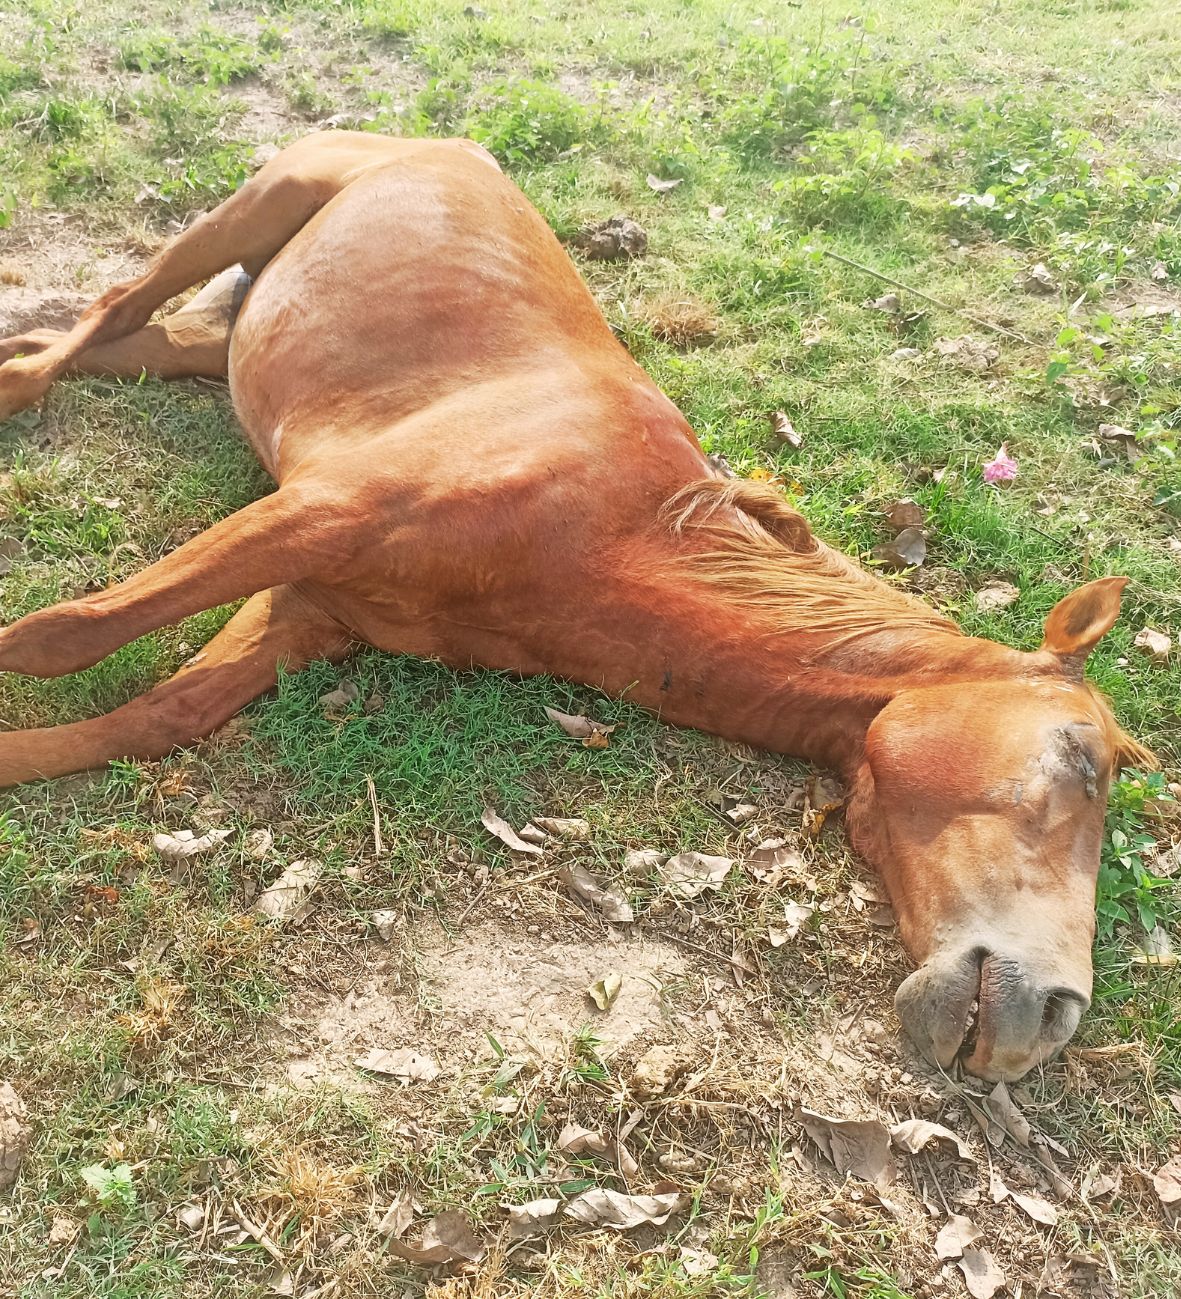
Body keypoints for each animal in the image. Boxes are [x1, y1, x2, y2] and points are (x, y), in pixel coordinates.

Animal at [0, 132, 1151, 1081]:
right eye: (1078, 762)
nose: (1053, 1017)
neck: (605, 532)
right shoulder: (314, 516)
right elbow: (59, 636)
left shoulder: (310, 605)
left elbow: (154, 715)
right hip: (250, 209)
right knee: (106, 311)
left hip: (226, 329)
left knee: (129, 340)